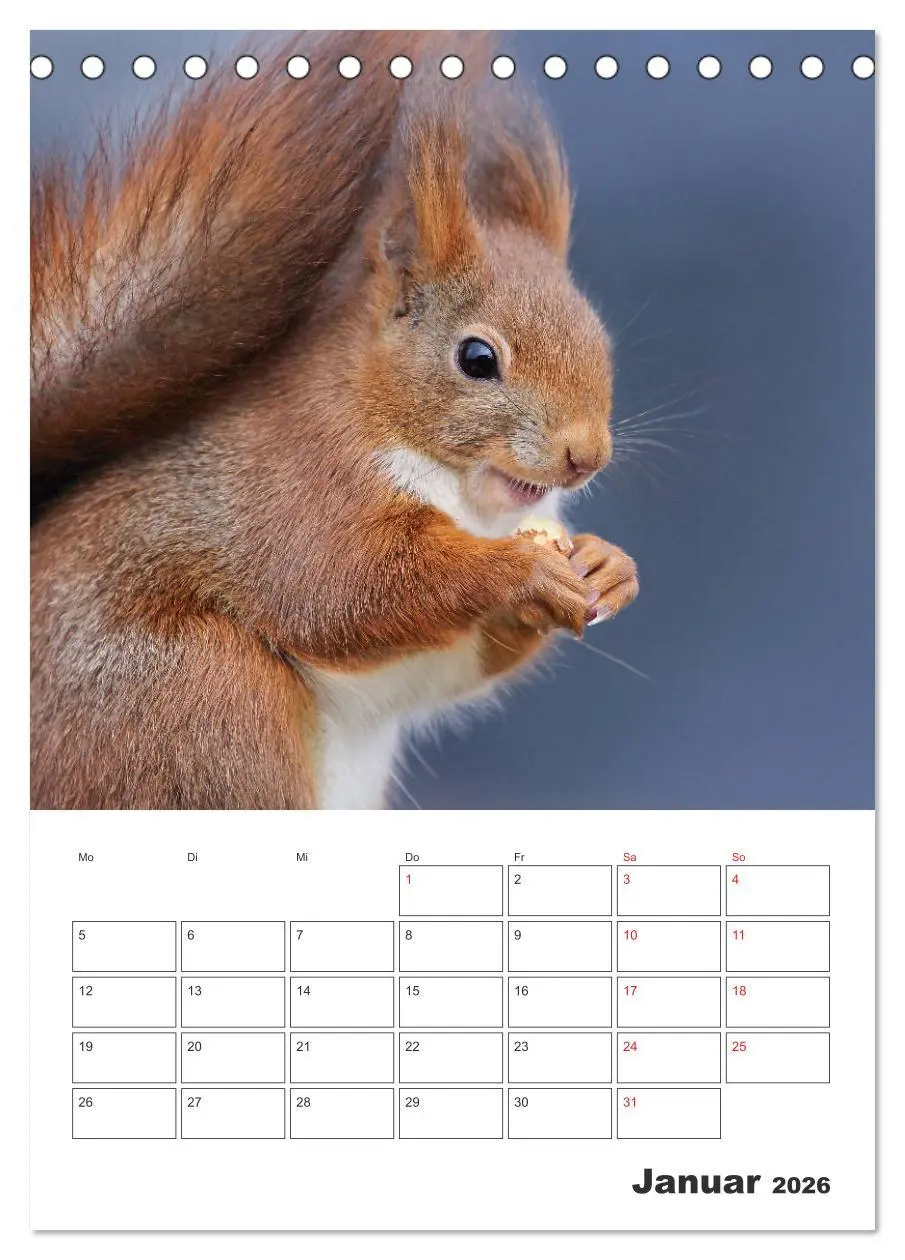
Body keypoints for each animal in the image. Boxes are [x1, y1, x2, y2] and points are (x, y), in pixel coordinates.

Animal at [31, 32, 639, 809]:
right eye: (477, 358)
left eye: (600, 339)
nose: (585, 456)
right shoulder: (303, 485)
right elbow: (342, 587)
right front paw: (521, 570)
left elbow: (468, 657)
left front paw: (608, 565)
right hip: (198, 699)